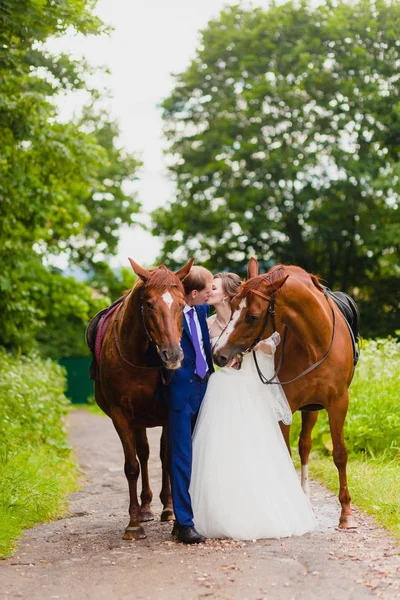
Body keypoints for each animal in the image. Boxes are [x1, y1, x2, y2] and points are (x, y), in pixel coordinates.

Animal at [94, 258, 193, 540]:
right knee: (145, 454)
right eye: (149, 304)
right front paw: (134, 523)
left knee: (158, 455)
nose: (173, 355)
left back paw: (166, 507)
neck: (139, 358)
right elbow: (132, 466)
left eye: (182, 304)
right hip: (137, 421)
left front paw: (175, 517)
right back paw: (146, 507)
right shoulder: (121, 415)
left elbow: (169, 460)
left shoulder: (170, 412)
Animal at [214, 255, 358, 528]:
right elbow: (284, 451)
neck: (315, 341)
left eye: (253, 316)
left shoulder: (338, 402)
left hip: (312, 408)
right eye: (233, 305)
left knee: (305, 445)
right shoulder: (285, 404)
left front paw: (346, 512)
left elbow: (340, 454)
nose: (218, 353)